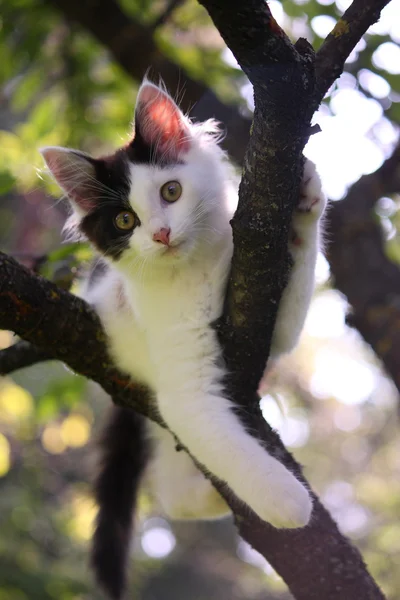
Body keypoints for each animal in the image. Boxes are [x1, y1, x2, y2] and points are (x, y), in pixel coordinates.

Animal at [40, 79, 326, 600]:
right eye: (124, 221)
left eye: (171, 192)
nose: (161, 233)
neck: (196, 266)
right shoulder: (183, 392)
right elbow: (229, 447)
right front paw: (289, 502)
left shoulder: (273, 326)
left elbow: (292, 306)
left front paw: (304, 201)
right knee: (176, 499)